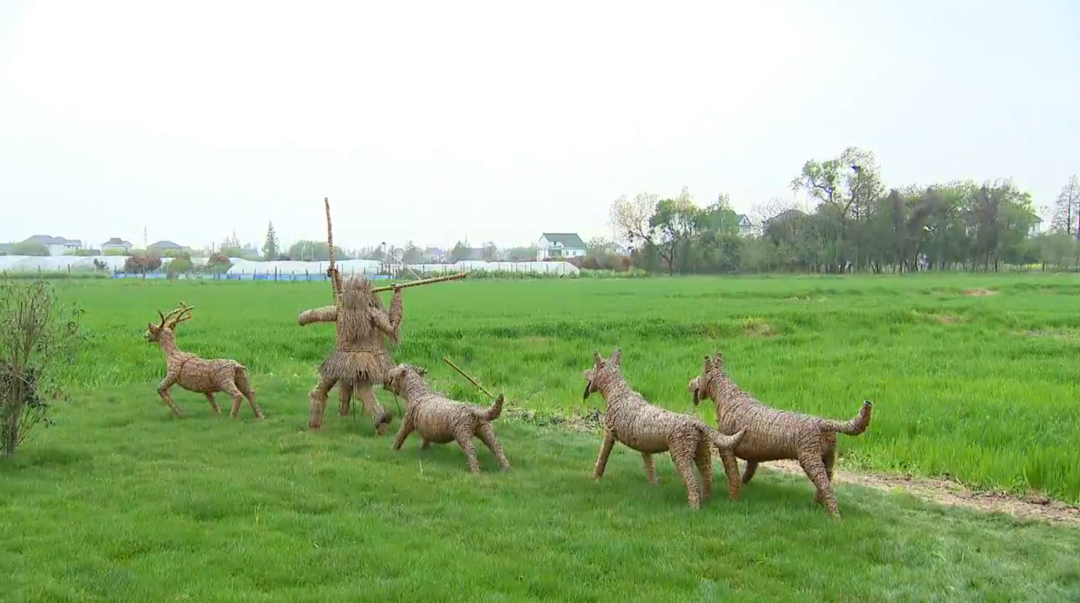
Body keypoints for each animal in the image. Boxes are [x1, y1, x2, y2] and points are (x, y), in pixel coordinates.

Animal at [583, 350, 743, 510]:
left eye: (593, 368)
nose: (583, 372)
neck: (618, 392)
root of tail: (696, 422)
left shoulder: (609, 432)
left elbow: (602, 458)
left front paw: (595, 478)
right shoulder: (644, 445)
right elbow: (649, 465)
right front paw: (653, 483)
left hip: (681, 454)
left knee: (692, 482)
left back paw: (694, 507)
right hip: (702, 452)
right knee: (707, 477)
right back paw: (707, 500)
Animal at [686, 350, 872, 520]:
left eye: (701, 375)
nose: (690, 383)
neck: (729, 397)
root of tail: (823, 423)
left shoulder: (727, 449)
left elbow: (733, 476)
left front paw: (733, 499)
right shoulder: (753, 454)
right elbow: (748, 471)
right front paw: (744, 485)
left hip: (810, 458)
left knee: (826, 486)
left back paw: (835, 517)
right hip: (828, 458)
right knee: (827, 479)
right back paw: (816, 504)